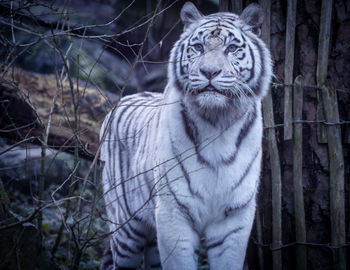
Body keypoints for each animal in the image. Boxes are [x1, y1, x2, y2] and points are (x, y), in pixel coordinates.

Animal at [100, 2, 272, 270]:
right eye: (199, 47)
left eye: (231, 48)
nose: (209, 71)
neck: (218, 122)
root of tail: (120, 102)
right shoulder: (173, 212)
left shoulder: (234, 218)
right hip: (126, 229)